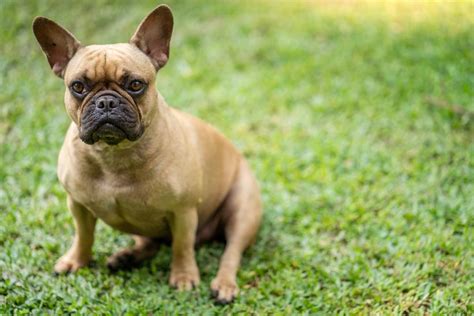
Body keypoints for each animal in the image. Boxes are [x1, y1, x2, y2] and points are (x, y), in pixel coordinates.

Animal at [32, 3, 262, 302]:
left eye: (135, 85)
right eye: (78, 87)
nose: (106, 102)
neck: (114, 153)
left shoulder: (183, 211)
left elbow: (182, 247)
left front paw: (184, 277)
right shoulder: (78, 205)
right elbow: (83, 236)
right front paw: (76, 261)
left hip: (243, 211)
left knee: (230, 252)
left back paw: (224, 284)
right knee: (150, 243)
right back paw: (127, 257)